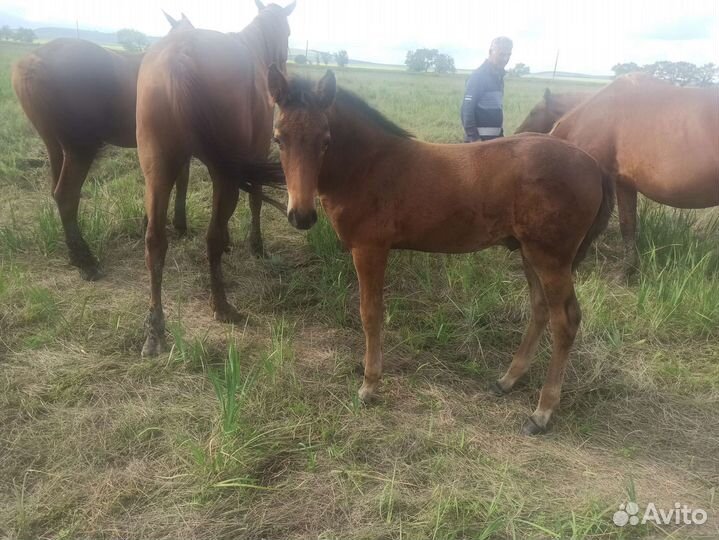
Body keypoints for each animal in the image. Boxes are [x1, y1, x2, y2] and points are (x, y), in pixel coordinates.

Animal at [11, 12, 195, 281]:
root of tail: (31, 63)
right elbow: (181, 181)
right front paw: (180, 226)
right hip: (80, 148)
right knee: (66, 195)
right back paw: (86, 261)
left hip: (54, 146)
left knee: (57, 192)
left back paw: (73, 254)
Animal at [137, 1, 294, 357]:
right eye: (288, 33)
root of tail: (179, 56)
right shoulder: (254, 152)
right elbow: (254, 200)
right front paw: (254, 245)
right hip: (225, 173)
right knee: (210, 236)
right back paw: (221, 305)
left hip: (158, 172)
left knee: (155, 242)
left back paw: (155, 329)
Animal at [267, 67, 614, 435]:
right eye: (278, 139)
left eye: (325, 140)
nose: (301, 216)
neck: (368, 166)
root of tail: (594, 165)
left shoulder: (369, 249)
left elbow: (370, 314)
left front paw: (369, 385)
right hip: (530, 253)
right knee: (540, 309)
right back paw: (507, 380)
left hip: (551, 258)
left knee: (566, 320)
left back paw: (542, 412)